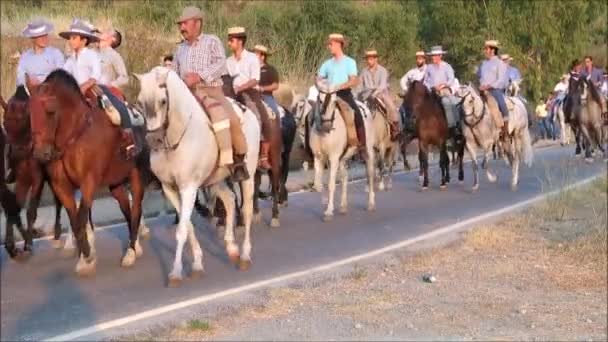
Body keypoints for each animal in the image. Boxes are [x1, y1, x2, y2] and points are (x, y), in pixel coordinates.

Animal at [27, 69, 148, 276]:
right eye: (30, 112)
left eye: (50, 110)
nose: (40, 153)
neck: (74, 136)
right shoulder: (61, 186)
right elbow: (75, 220)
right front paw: (85, 257)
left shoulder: (88, 182)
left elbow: (82, 217)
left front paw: (88, 258)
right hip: (116, 184)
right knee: (127, 210)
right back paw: (135, 247)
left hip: (136, 177)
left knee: (136, 211)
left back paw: (131, 253)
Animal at [134, 67, 260, 286]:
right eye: (140, 102)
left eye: (163, 101)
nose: (153, 140)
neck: (176, 138)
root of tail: (248, 111)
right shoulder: (170, 189)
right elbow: (188, 226)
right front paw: (197, 264)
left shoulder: (189, 188)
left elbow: (182, 230)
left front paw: (176, 272)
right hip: (216, 179)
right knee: (229, 200)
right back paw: (231, 247)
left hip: (248, 176)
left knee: (247, 210)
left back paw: (244, 255)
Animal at [296, 84, 376, 220]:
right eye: (320, 100)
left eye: (334, 102)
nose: (327, 125)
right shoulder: (318, 157)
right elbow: (318, 185)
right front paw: (324, 201)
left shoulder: (333, 158)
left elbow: (331, 184)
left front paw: (329, 211)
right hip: (343, 158)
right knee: (344, 177)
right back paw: (343, 206)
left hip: (367, 151)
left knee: (370, 174)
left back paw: (371, 204)